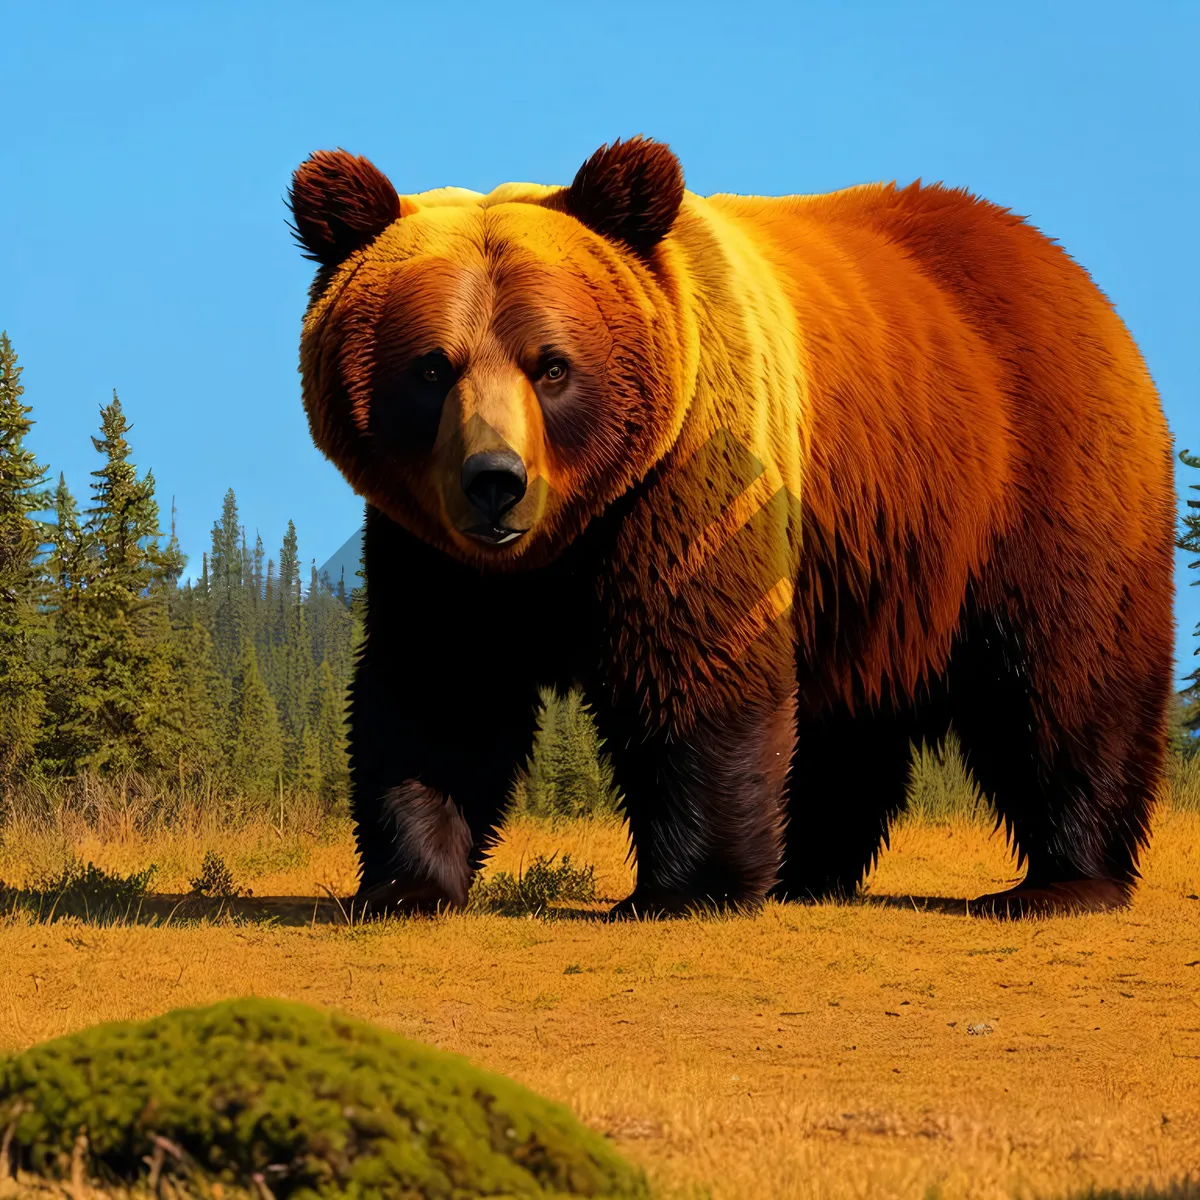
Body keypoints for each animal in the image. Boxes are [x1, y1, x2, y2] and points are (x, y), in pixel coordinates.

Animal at [288, 136, 1171, 916]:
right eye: (433, 367)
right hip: (869, 561)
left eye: (553, 365)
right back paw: (806, 871)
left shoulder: (685, 483)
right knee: (842, 723)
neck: (563, 539)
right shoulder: (430, 550)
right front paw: (406, 884)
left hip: (1032, 481)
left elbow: (696, 667)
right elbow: (438, 689)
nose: (496, 483)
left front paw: (685, 890)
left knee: (1066, 681)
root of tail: (1065, 268)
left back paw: (1060, 882)